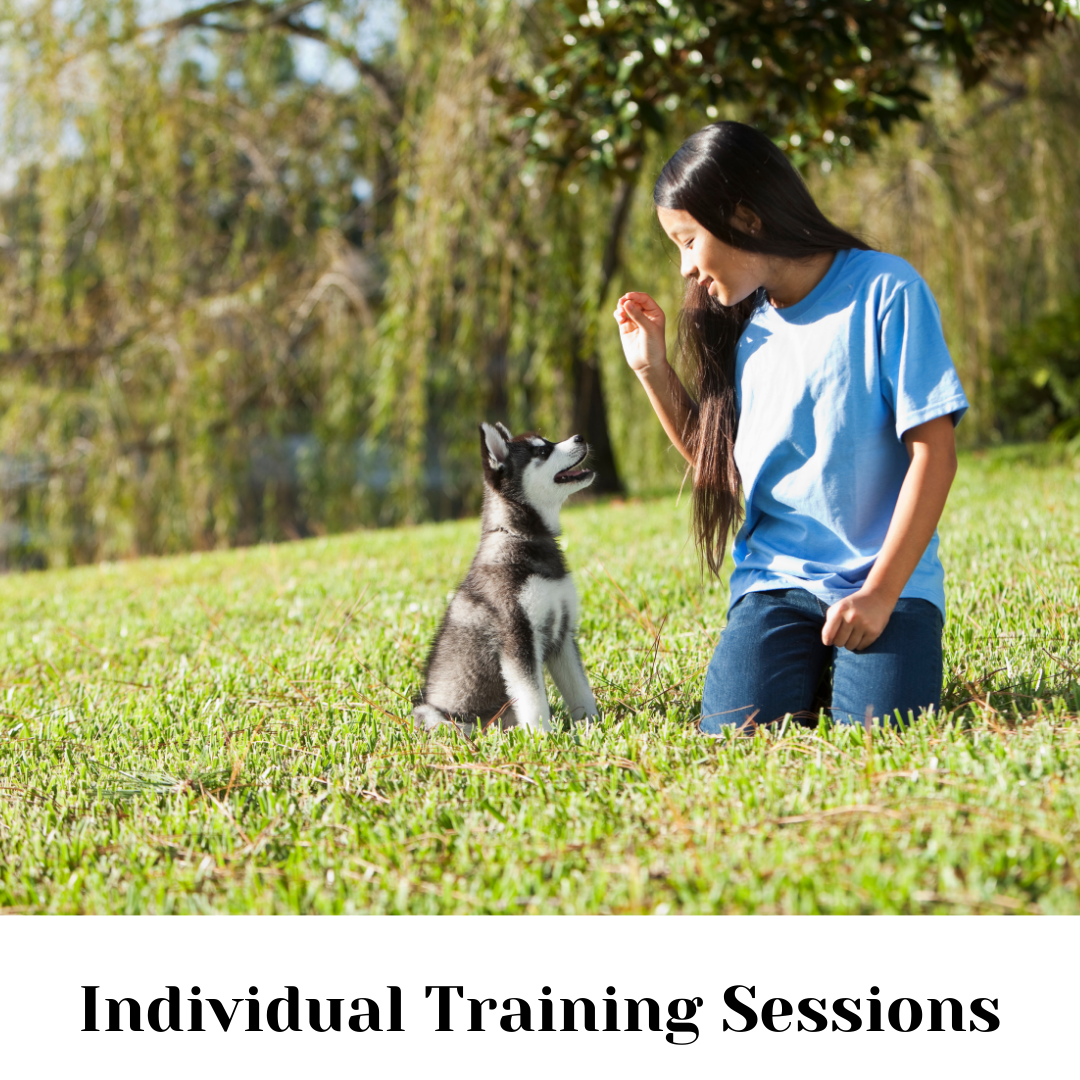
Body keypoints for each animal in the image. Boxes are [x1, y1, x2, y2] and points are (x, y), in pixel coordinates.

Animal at [412, 421, 600, 734]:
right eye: (542, 451)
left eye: (547, 441)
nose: (580, 436)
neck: (522, 538)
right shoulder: (517, 638)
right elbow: (534, 698)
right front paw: (543, 737)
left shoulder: (562, 635)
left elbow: (580, 689)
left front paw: (591, 724)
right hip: (437, 715)